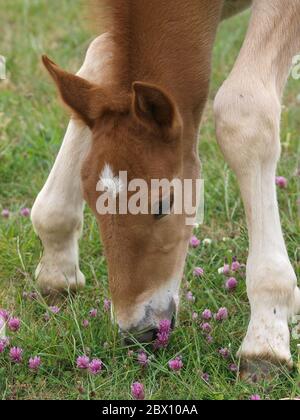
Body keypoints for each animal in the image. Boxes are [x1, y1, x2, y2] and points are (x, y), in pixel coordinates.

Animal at [31, 0, 298, 376]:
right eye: (91, 202)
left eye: (162, 204)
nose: (137, 333)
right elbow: (98, 55)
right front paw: (58, 264)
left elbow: (243, 114)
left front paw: (266, 337)